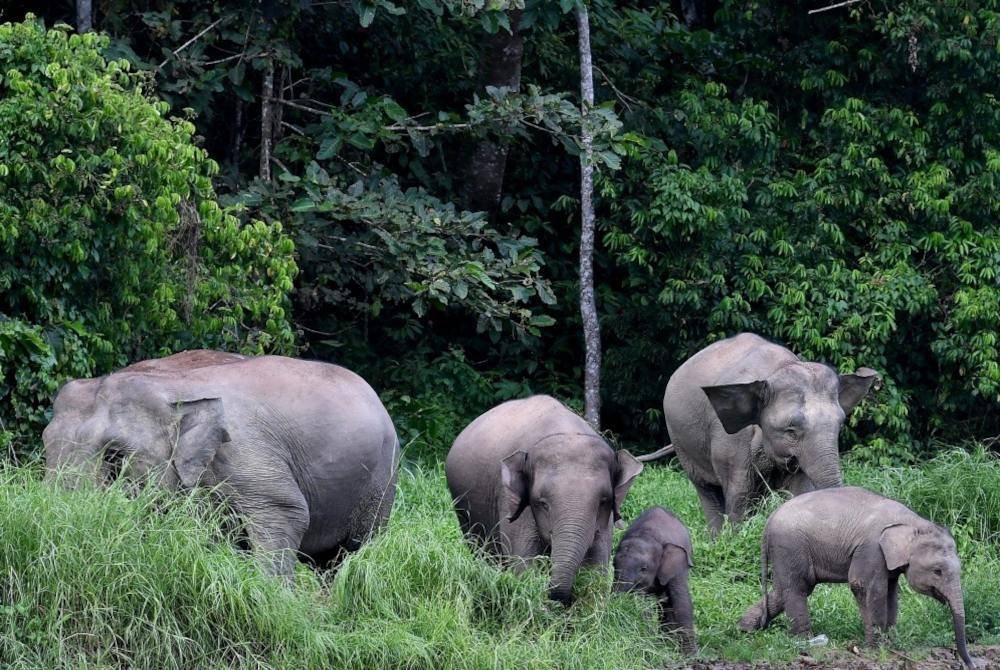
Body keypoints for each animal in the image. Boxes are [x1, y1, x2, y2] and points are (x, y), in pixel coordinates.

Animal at [44, 352, 398, 576]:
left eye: (116, 457)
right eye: (45, 444)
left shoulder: (245, 453)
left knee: (351, 552)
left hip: (381, 479)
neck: (171, 384)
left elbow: (287, 511)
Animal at [444, 396, 640, 608]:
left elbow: (597, 567)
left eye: (603, 501)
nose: (559, 598)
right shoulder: (511, 500)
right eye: (542, 503)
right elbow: (524, 564)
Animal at [608, 506, 696, 652]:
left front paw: (690, 654)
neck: (650, 535)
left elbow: (681, 601)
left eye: (643, 568)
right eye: (614, 565)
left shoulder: (677, 567)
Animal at [640, 334, 876, 540]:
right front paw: (735, 541)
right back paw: (716, 540)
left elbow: (800, 489)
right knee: (707, 490)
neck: (775, 371)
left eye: (840, 424)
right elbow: (739, 495)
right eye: (791, 430)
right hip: (681, 440)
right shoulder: (731, 442)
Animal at [740, 486, 972, 668]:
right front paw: (877, 648)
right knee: (797, 588)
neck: (913, 522)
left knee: (784, 590)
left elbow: (891, 591)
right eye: (937, 571)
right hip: (790, 546)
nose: (969, 664)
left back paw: (745, 628)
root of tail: (768, 521)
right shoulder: (871, 549)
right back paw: (804, 641)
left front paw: (890, 642)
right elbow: (864, 585)